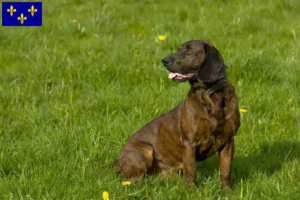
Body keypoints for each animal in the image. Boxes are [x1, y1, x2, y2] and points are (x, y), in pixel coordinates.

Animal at [113, 39, 240, 188]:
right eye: (179, 49)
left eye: (189, 51)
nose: (164, 60)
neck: (211, 95)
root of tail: (118, 161)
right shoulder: (189, 142)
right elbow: (191, 169)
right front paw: (191, 189)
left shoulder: (228, 141)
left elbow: (226, 169)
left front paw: (226, 190)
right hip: (146, 150)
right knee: (132, 179)